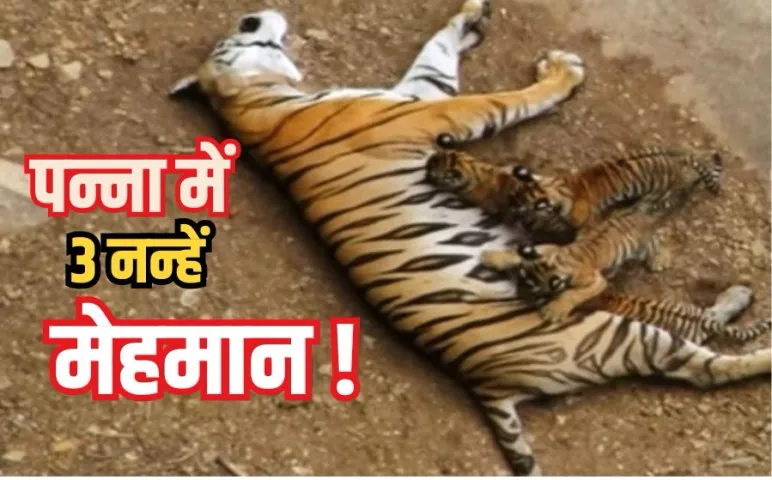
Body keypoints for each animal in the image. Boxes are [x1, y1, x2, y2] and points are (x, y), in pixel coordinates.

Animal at [479, 194, 688, 323]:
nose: (518, 292)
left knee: (662, 236)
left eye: (534, 289)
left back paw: (660, 258)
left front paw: (555, 309)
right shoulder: (549, 249)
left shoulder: (595, 281)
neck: (560, 259)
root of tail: (638, 211)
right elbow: (517, 253)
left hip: (644, 244)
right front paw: (494, 257)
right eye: (521, 276)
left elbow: (573, 294)